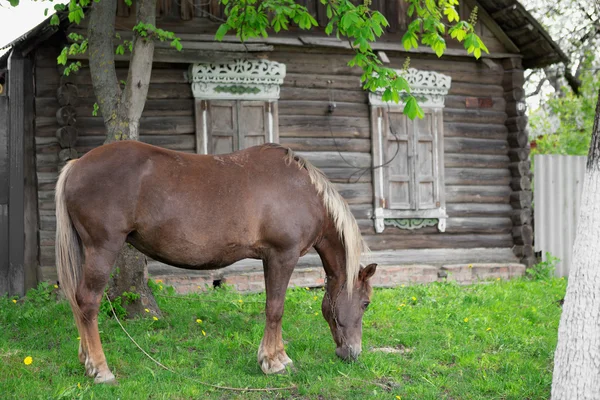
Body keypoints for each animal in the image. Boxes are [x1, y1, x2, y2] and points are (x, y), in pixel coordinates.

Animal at [56, 141, 376, 384]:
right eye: (366, 303)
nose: (353, 353)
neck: (302, 190)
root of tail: (77, 165)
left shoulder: (270, 259)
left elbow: (274, 308)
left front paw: (280, 356)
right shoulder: (282, 256)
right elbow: (275, 309)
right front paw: (272, 362)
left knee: (78, 304)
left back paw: (87, 361)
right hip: (102, 249)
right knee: (88, 303)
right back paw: (101, 370)